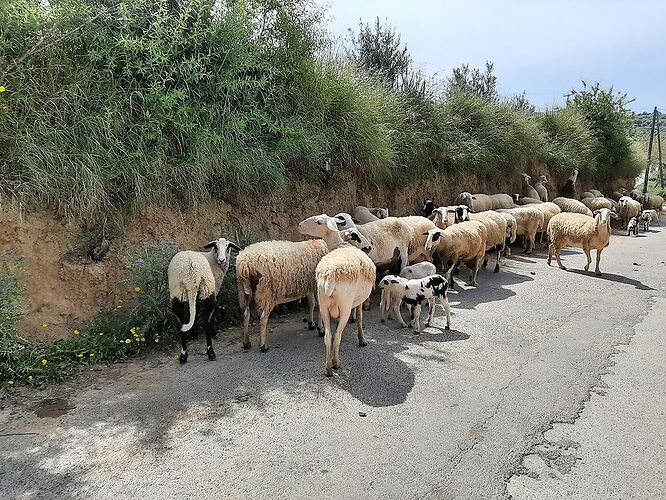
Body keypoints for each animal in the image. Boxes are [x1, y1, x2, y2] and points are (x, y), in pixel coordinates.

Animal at [316, 244, 374, 376]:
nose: (368, 247)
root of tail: (330, 278)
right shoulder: (359, 301)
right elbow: (359, 318)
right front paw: (362, 340)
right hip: (345, 307)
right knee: (337, 336)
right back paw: (336, 363)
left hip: (323, 306)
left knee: (328, 337)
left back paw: (328, 368)